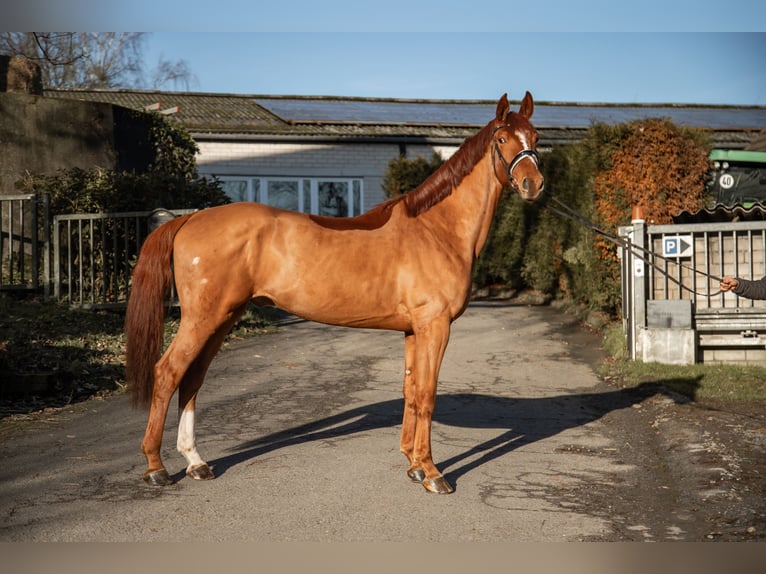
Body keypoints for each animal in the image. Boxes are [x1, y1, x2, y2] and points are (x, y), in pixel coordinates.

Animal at [124, 90, 544, 496]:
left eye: (536, 138)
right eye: (502, 139)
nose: (533, 185)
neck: (436, 229)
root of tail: (190, 218)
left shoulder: (413, 330)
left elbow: (410, 390)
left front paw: (412, 464)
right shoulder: (434, 326)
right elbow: (427, 394)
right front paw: (432, 474)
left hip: (223, 318)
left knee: (192, 378)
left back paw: (196, 462)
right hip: (203, 318)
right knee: (168, 372)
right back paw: (156, 468)